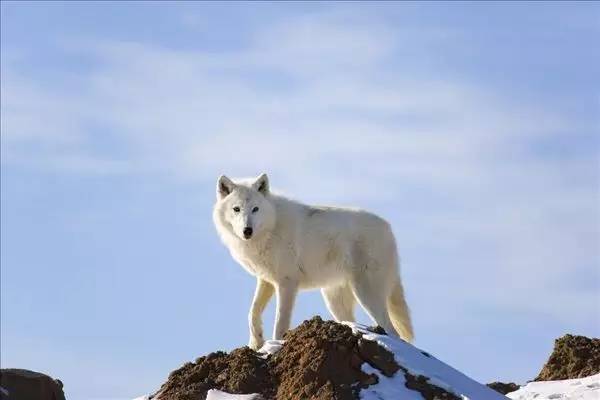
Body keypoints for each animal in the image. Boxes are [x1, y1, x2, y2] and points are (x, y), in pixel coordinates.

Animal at [213, 173, 414, 348]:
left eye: (255, 209)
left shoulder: (287, 283)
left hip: (366, 294)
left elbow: (280, 321)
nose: (247, 230)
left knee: (394, 332)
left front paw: (275, 345)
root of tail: (389, 228)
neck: (271, 228)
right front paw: (256, 343)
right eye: (236, 209)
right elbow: (252, 313)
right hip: (335, 301)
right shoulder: (266, 280)